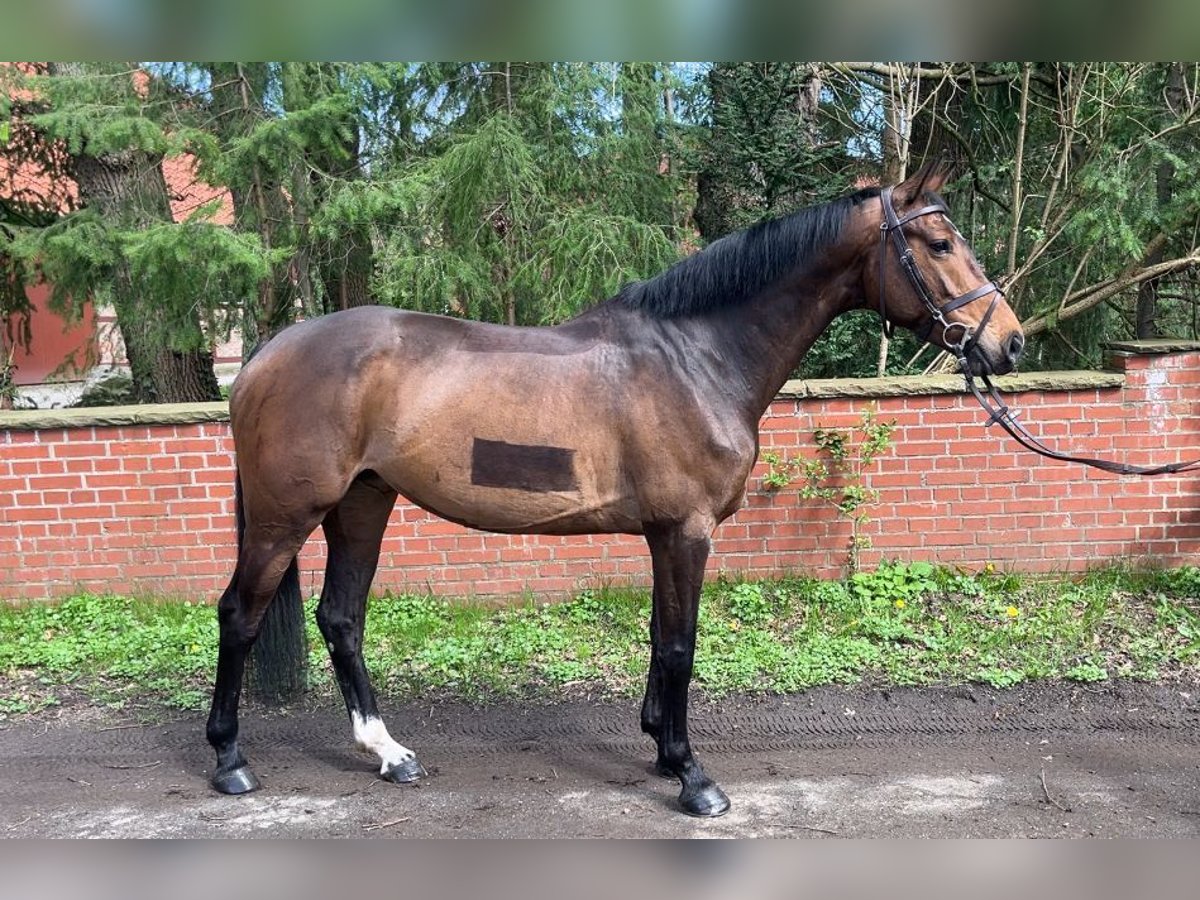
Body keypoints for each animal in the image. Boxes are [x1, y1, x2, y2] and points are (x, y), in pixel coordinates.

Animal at [204, 160, 1022, 816]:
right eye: (939, 243)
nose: (1008, 341)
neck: (697, 357)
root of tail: (264, 357)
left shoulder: (666, 533)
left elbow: (662, 638)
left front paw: (661, 748)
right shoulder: (687, 530)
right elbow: (682, 645)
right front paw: (693, 778)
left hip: (363, 502)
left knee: (341, 618)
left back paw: (389, 754)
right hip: (287, 515)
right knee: (240, 614)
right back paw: (230, 761)